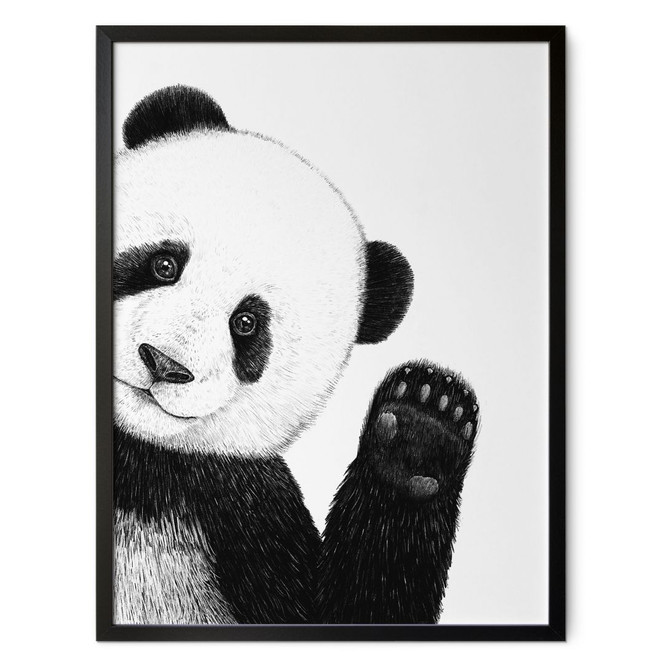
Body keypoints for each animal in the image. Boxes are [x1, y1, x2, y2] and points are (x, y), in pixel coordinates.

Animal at [113, 85, 480, 625]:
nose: (164, 363)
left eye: (246, 324)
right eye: (164, 264)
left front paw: (424, 425)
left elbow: (344, 609)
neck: (137, 458)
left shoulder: (242, 503)